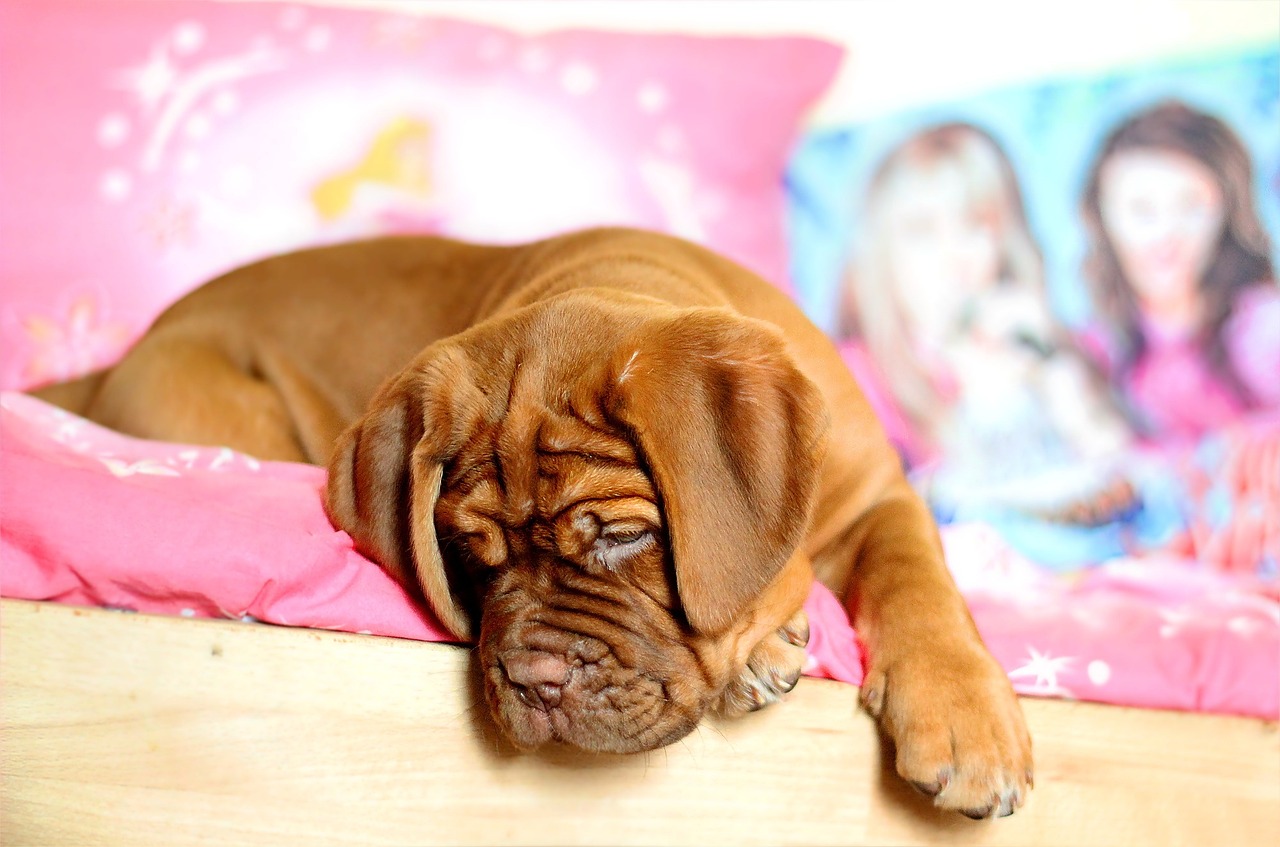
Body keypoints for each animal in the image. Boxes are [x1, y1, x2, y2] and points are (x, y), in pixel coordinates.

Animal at [32, 229, 1029, 818]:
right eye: (467, 553)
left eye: (624, 535)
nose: (538, 681)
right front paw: (770, 641)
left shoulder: (879, 494)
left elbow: (918, 575)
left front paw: (965, 714)